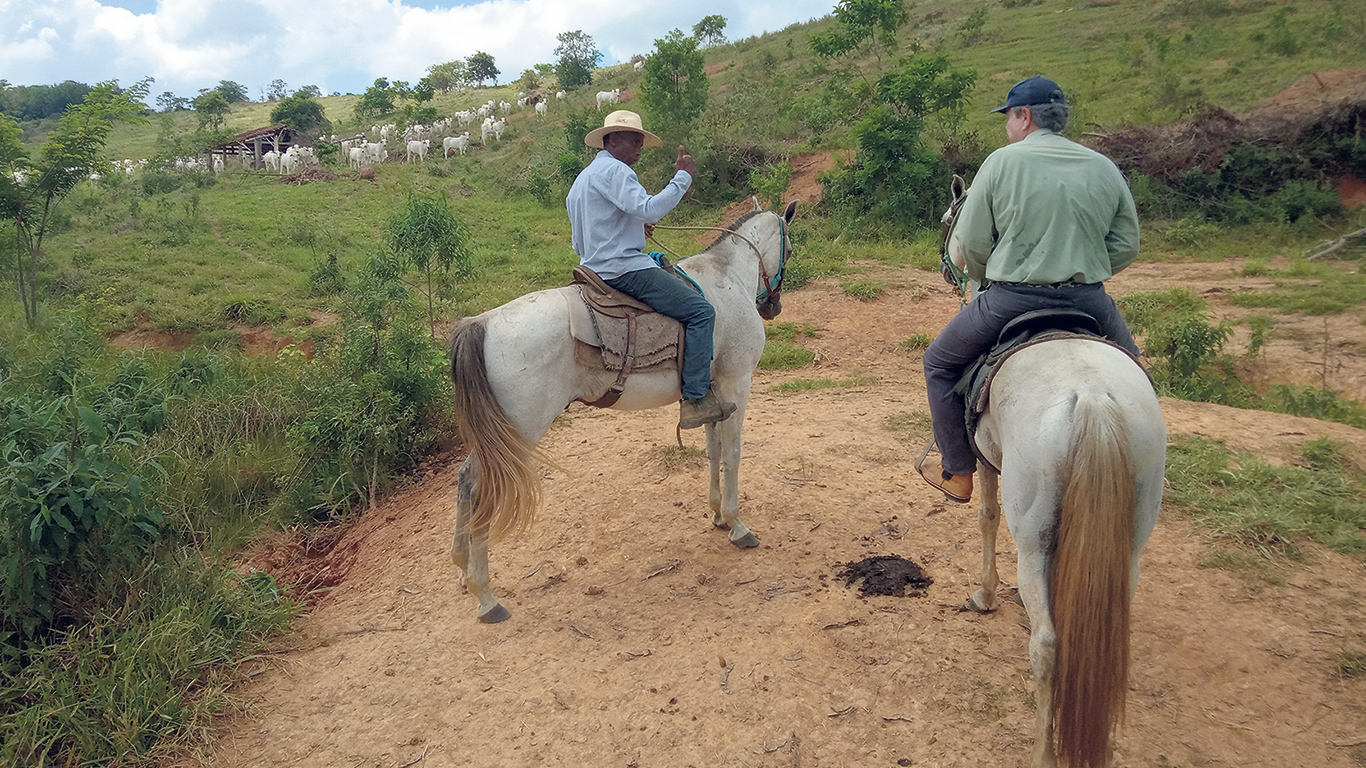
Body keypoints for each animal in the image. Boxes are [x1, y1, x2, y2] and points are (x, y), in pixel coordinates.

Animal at [442, 198, 797, 623]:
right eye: (790, 250)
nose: (773, 306)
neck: (727, 280)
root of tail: (481, 323)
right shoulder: (737, 384)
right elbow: (733, 454)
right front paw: (736, 524)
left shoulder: (713, 395)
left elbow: (712, 451)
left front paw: (714, 514)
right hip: (519, 431)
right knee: (482, 490)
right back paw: (486, 597)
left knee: (466, 479)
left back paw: (463, 570)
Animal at [950, 181, 1163, 759]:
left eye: (954, 215)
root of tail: (1092, 396)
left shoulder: (986, 461)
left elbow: (986, 519)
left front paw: (985, 595)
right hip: (1130, 538)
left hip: (1034, 540)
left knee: (1047, 645)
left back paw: (1044, 752)